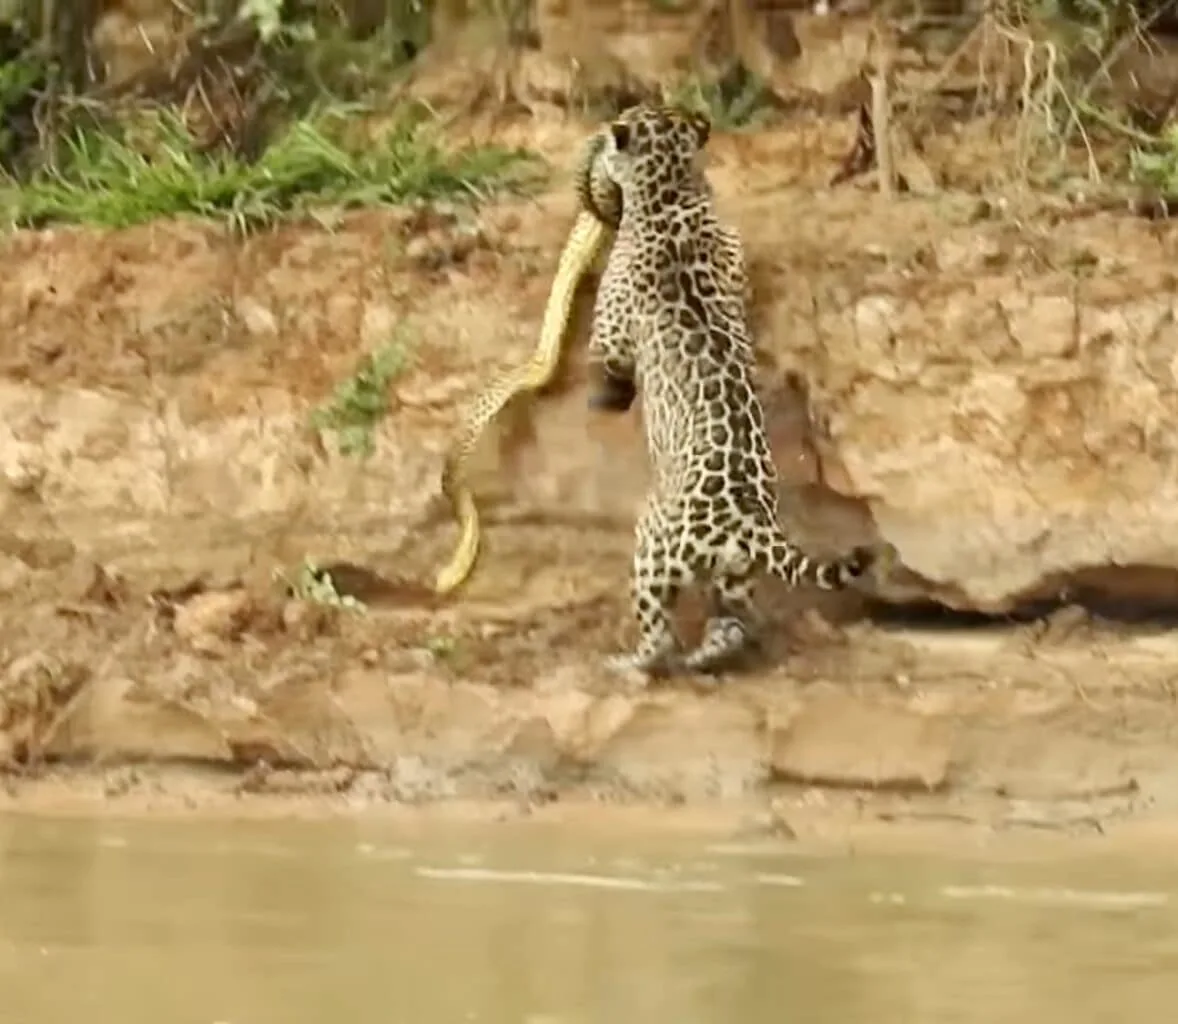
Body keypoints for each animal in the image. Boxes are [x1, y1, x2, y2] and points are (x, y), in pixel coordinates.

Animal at [589, 106, 876, 678]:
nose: (599, 141)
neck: (672, 191)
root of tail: (747, 522)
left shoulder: (610, 334)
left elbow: (608, 360)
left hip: (652, 540)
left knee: (659, 637)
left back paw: (630, 664)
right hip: (734, 576)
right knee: (734, 625)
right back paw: (704, 658)